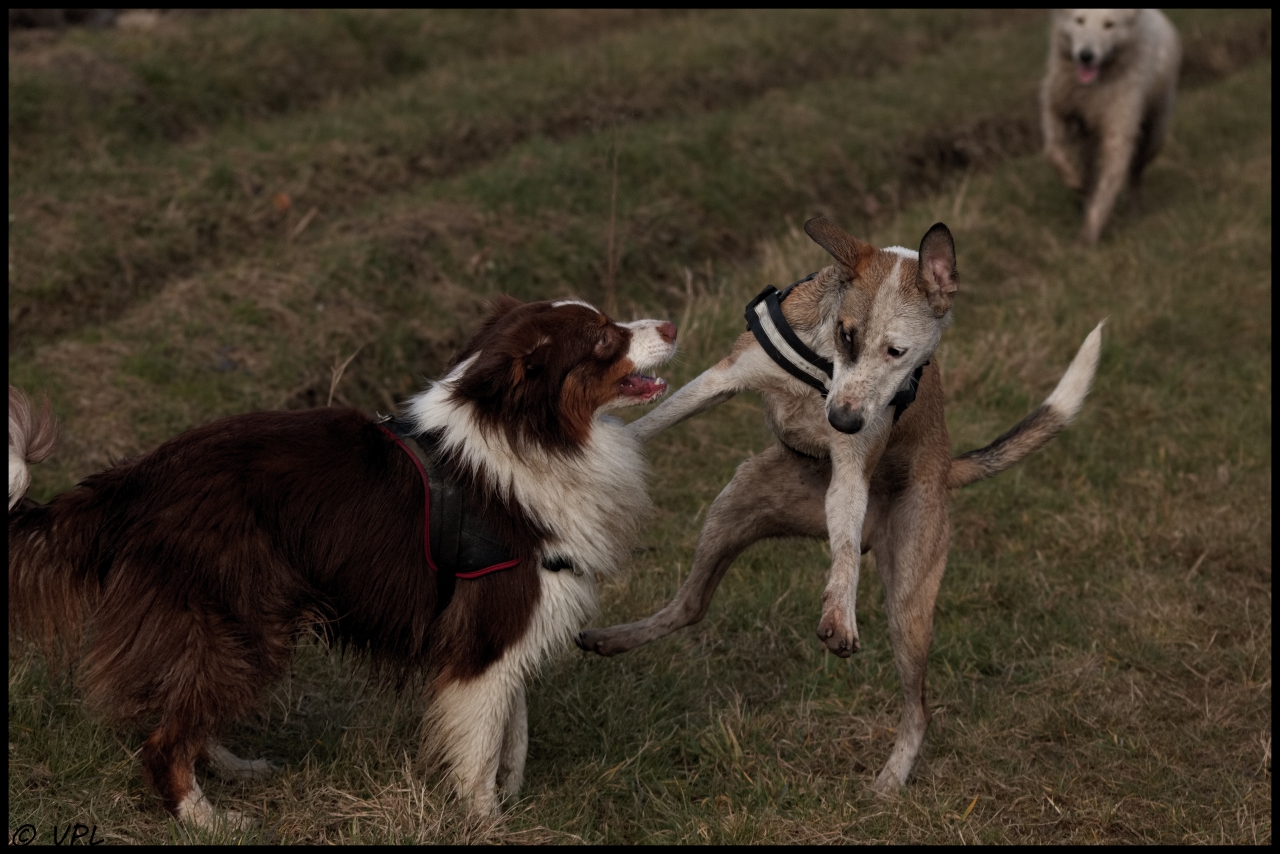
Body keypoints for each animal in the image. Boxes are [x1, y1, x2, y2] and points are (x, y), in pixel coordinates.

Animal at [8, 296, 677, 827]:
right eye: (602, 337)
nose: (672, 325)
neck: (533, 433)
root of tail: (136, 479)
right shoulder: (490, 627)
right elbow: (481, 741)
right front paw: (487, 821)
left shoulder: (507, 631)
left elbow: (512, 726)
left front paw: (509, 796)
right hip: (240, 620)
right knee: (164, 740)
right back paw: (208, 820)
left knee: (183, 706)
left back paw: (232, 768)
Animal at [578, 217, 1102, 793]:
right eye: (847, 334)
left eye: (898, 353)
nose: (842, 421)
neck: (821, 368)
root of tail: (947, 468)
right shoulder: (721, 380)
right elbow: (654, 421)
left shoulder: (852, 468)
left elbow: (846, 551)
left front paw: (839, 613)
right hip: (733, 506)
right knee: (691, 604)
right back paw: (610, 639)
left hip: (908, 602)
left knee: (919, 707)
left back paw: (892, 779)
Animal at [1041, 8, 1181, 245]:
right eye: (1079, 20)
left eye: (1109, 25)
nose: (1086, 55)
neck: (1093, 89)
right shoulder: (1058, 107)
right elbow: (1053, 151)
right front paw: (1073, 179)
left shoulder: (1119, 130)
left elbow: (1108, 185)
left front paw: (1088, 234)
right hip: (1088, 138)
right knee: (1090, 169)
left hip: (1153, 133)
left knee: (1136, 172)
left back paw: (1132, 210)